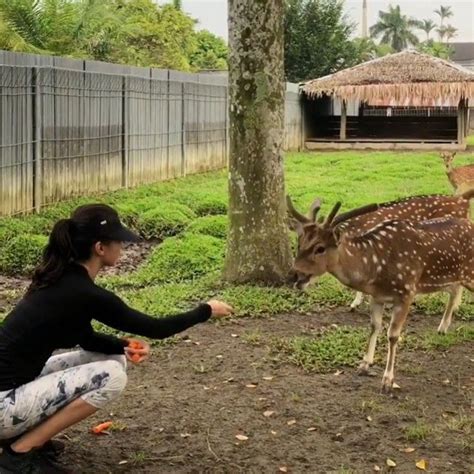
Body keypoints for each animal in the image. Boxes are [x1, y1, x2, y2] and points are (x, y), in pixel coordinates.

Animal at [286, 196, 472, 392]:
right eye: (299, 243)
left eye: (320, 248)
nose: (293, 275)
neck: (374, 269)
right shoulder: (377, 297)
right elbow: (374, 326)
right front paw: (364, 364)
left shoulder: (407, 292)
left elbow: (393, 335)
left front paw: (387, 381)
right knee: (454, 290)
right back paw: (443, 327)